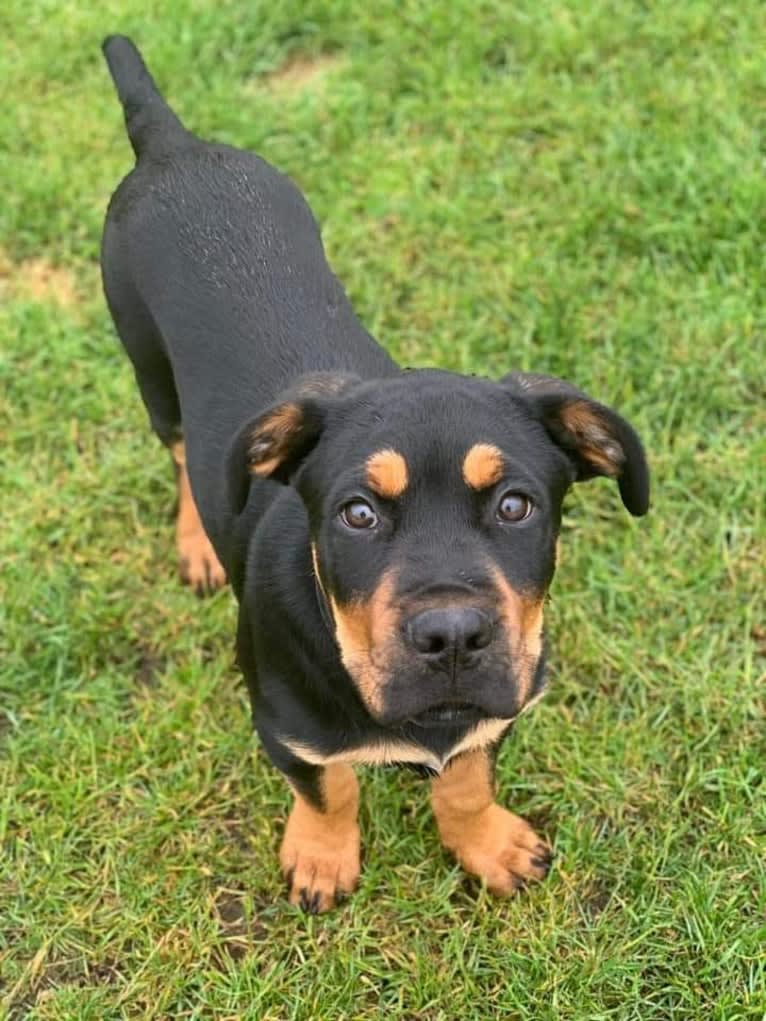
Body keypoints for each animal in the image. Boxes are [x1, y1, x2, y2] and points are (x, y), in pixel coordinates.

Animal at [100, 35, 649, 914]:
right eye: (357, 514)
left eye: (517, 505)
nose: (453, 636)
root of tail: (172, 144)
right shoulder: (285, 725)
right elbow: (329, 786)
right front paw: (322, 858)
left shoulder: (495, 705)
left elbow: (465, 774)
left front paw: (486, 841)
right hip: (147, 363)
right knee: (185, 456)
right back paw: (196, 544)